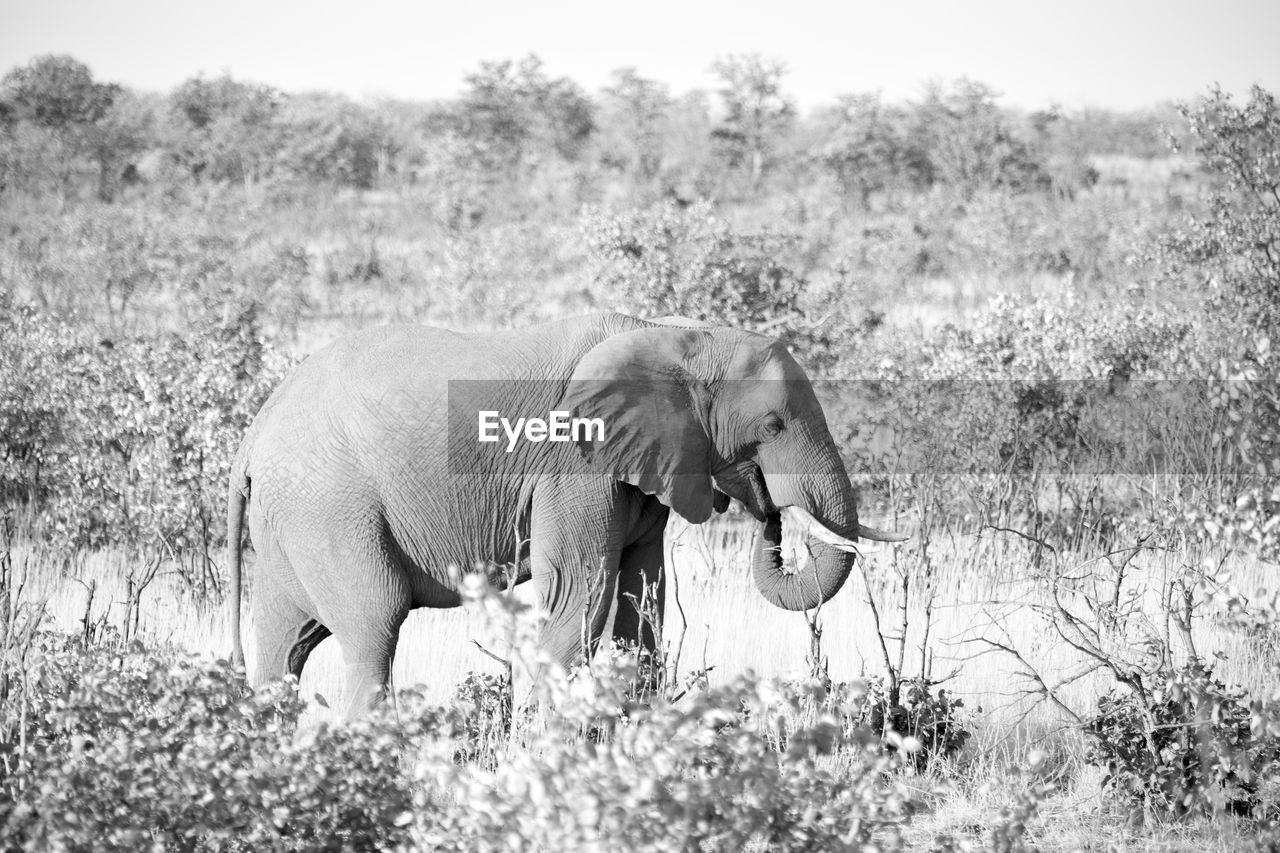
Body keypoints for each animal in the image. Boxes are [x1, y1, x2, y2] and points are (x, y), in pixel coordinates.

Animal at [230, 311, 906, 712]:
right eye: (772, 426)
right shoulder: (575, 462)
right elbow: (580, 595)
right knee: (374, 620)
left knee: (286, 644)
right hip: (329, 505)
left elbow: (642, 603)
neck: (679, 339)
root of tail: (254, 431)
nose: (770, 509)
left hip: (293, 520)